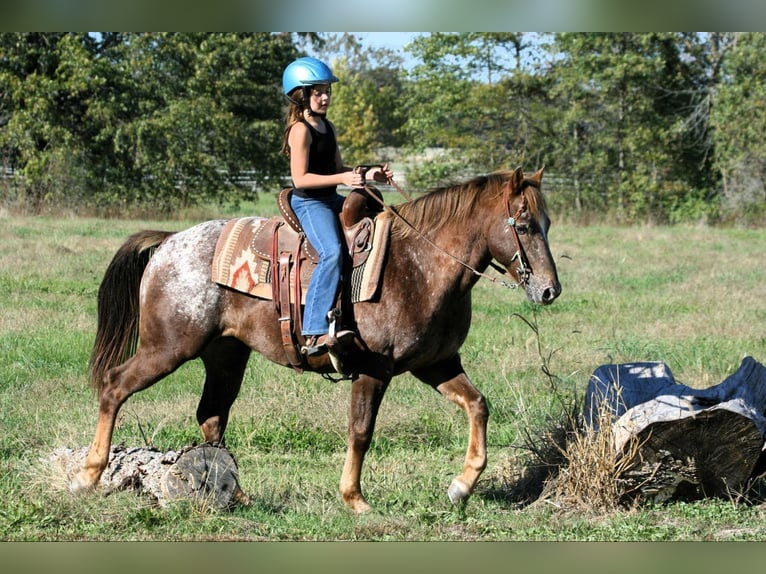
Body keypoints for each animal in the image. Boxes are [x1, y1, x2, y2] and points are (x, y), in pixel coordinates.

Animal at [70, 165, 564, 512]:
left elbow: (478, 405)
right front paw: (355, 499)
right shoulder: (373, 369)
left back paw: (235, 495)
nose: (549, 290)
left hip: (226, 356)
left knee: (211, 416)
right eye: (522, 225)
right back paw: (88, 475)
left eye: (548, 223)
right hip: (169, 348)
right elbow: (361, 432)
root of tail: (170, 242)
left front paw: (461, 486)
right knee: (115, 387)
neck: (420, 265)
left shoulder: (436, 364)